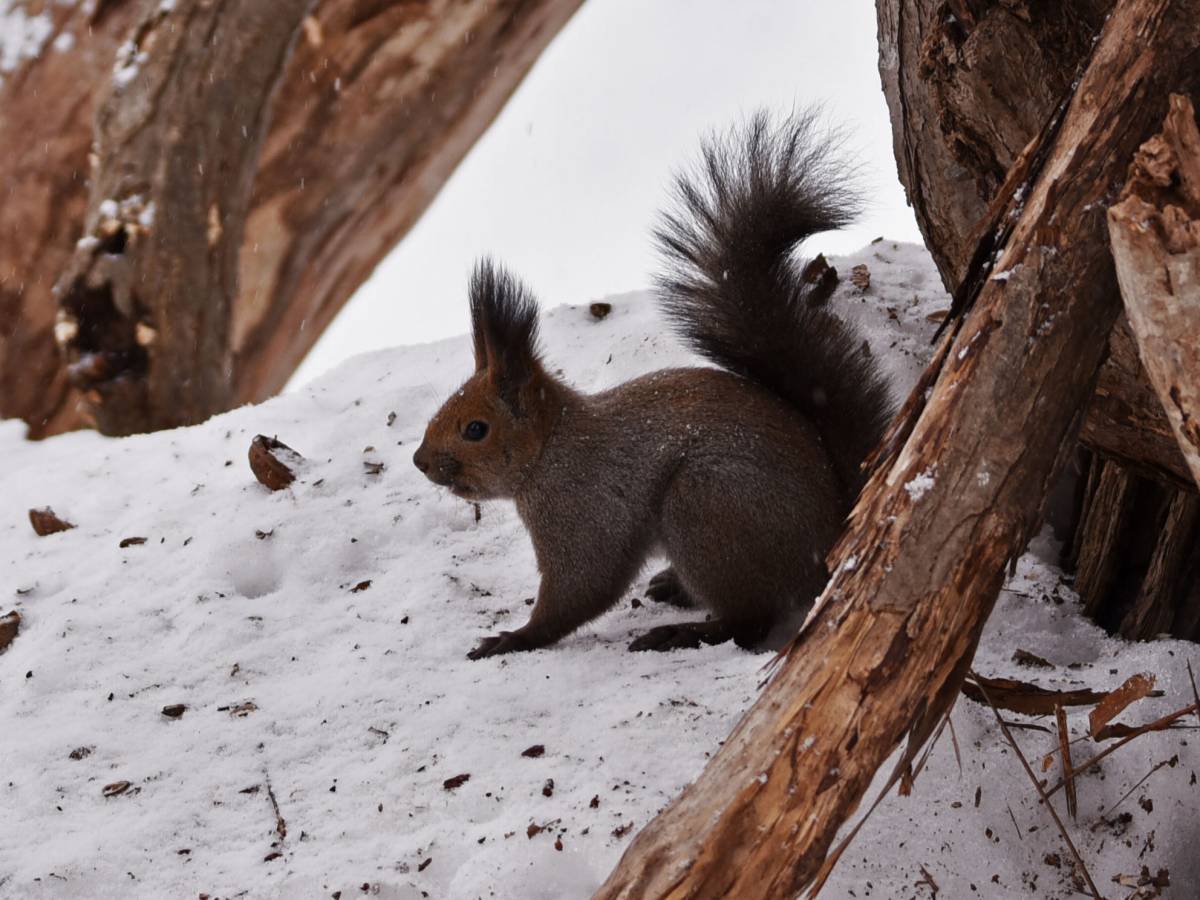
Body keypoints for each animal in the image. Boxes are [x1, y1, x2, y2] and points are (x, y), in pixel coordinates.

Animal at [412, 111, 894, 660]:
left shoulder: (582, 509)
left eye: (476, 429)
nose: (420, 461)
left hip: (708, 506)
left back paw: (681, 632)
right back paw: (674, 589)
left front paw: (513, 638)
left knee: (750, 621)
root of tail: (834, 532)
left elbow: (583, 586)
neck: (553, 448)